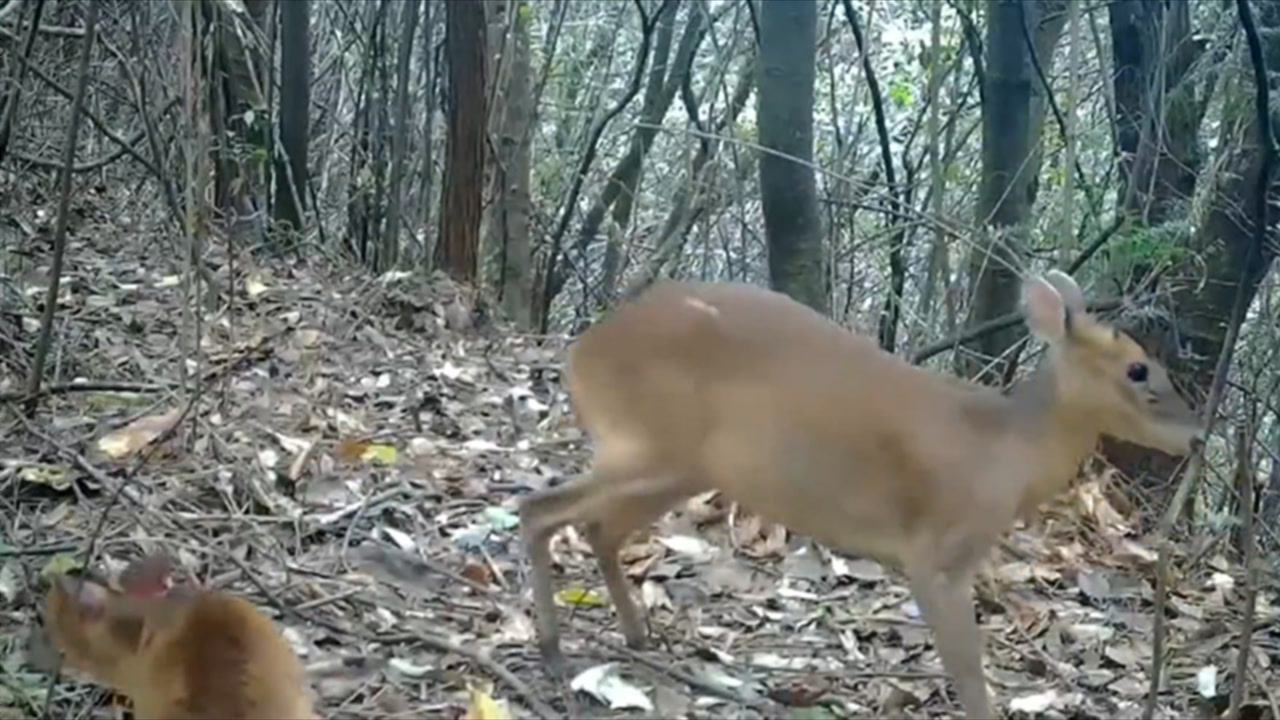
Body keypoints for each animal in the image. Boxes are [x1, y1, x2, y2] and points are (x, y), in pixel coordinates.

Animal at [517, 267, 1198, 712]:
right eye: (1139, 369)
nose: (1194, 432)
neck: (1004, 448)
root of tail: (580, 353)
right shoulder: (938, 554)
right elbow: (968, 673)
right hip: (649, 445)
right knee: (537, 507)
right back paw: (551, 650)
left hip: (679, 466)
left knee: (594, 525)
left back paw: (636, 637)